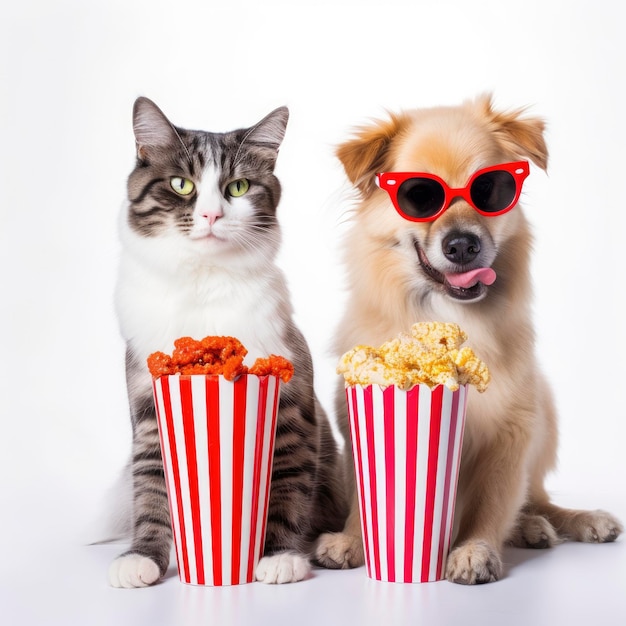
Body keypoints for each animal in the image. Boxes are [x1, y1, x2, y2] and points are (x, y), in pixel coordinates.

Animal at [106, 97, 346, 584]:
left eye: (238, 187)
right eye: (181, 185)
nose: (212, 215)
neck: (204, 281)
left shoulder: (291, 403)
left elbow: (286, 485)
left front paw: (277, 557)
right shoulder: (148, 403)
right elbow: (151, 487)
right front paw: (141, 558)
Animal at [314, 94, 620, 584]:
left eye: (490, 190)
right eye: (419, 197)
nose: (462, 245)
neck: (451, 316)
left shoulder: (512, 431)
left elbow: (492, 503)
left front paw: (476, 549)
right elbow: (365, 498)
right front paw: (353, 540)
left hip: (546, 410)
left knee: (535, 498)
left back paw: (563, 520)